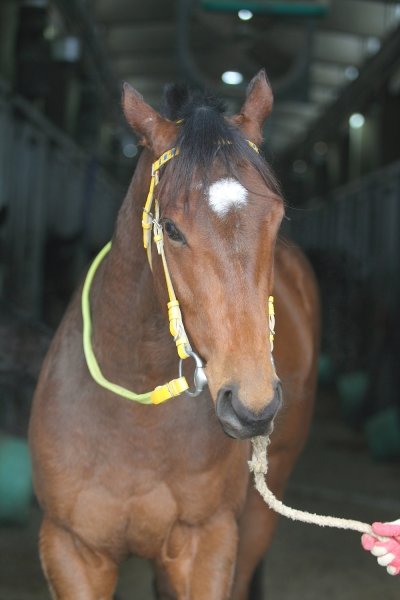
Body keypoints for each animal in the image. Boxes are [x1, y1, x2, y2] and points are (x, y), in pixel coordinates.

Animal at [28, 71, 318, 600]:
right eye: (170, 227)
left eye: (277, 220)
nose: (253, 405)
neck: (134, 416)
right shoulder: (72, 549)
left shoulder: (207, 543)